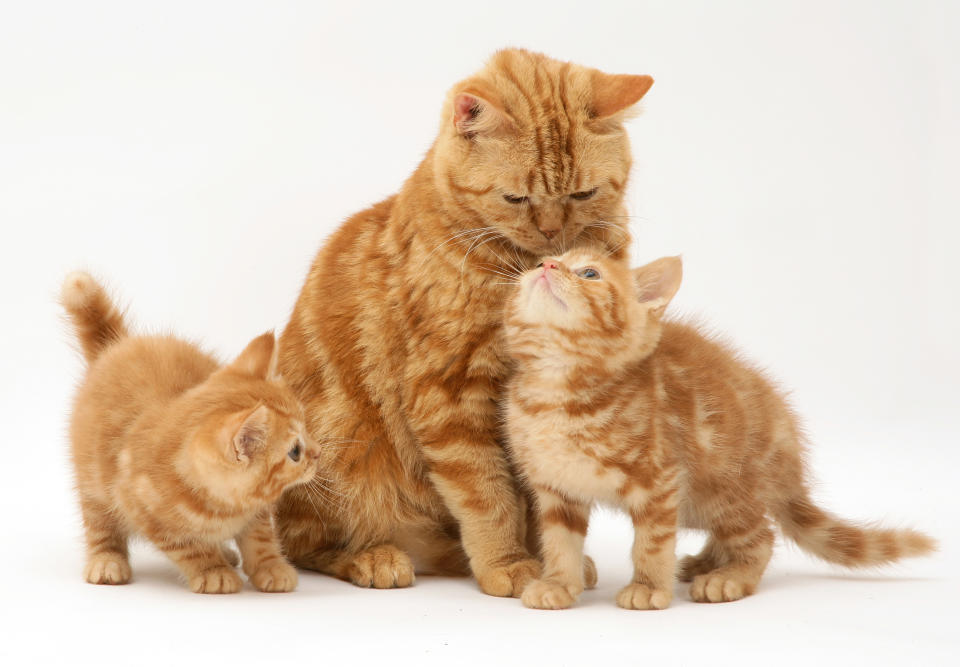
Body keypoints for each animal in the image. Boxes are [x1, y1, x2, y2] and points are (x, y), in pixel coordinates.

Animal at [62, 272, 322, 596]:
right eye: (295, 452)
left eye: (307, 426)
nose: (319, 453)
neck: (225, 509)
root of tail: (119, 346)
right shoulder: (144, 508)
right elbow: (191, 547)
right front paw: (214, 571)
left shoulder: (258, 513)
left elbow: (261, 539)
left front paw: (271, 567)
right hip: (93, 481)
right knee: (100, 525)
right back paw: (107, 562)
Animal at [274, 48, 656, 596]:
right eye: (516, 198)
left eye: (582, 194)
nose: (551, 231)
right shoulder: (450, 392)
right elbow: (486, 494)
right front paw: (509, 563)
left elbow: (539, 500)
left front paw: (552, 564)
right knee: (304, 543)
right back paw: (373, 557)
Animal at [502, 250, 936, 612]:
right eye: (542, 261)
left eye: (589, 273)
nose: (546, 265)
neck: (556, 386)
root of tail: (789, 455)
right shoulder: (557, 488)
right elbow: (560, 542)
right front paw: (559, 584)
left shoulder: (660, 478)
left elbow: (652, 543)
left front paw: (647, 587)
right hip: (700, 501)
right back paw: (706, 562)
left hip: (721, 488)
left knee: (761, 535)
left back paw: (729, 577)